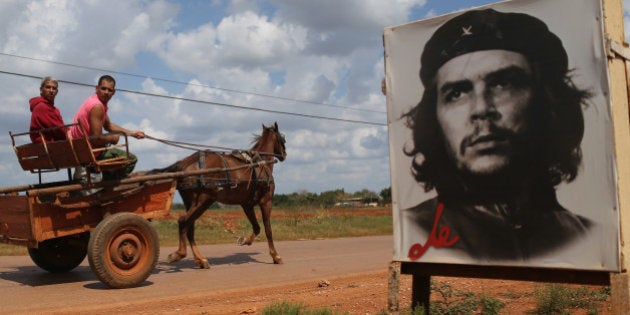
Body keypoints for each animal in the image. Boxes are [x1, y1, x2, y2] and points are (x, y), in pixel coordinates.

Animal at [153, 123, 286, 270]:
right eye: (283, 139)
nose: (284, 155)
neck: (260, 164)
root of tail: (186, 162)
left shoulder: (247, 204)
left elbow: (257, 228)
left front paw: (245, 240)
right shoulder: (266, 201)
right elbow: (268, 230)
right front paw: (275, 256)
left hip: (191, 200)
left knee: (189, 227)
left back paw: (201, 260)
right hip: (205, 199)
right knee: (183, 221)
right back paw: (179, 254)